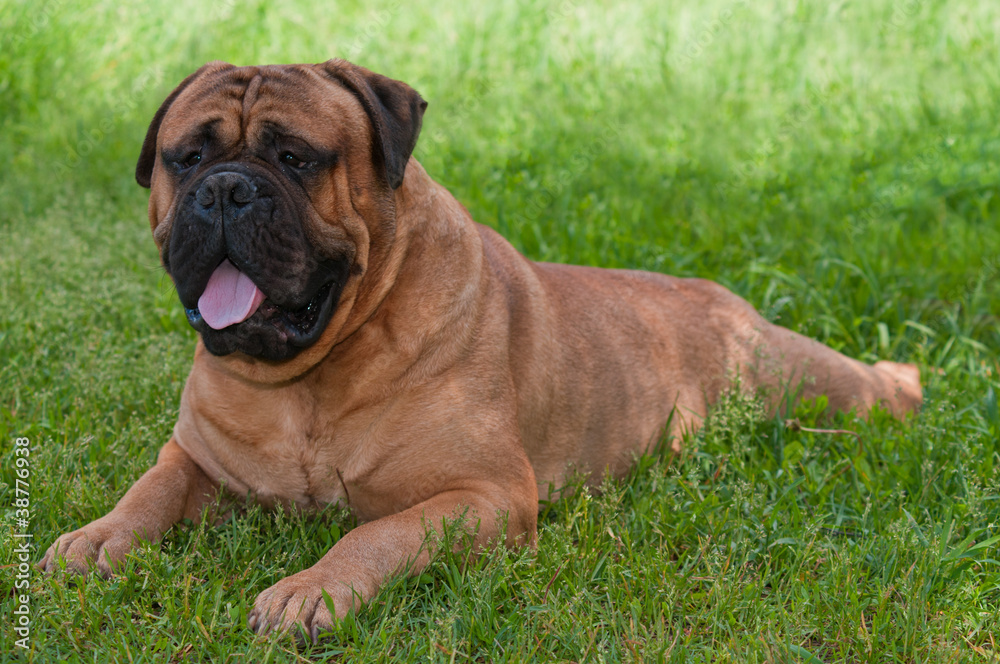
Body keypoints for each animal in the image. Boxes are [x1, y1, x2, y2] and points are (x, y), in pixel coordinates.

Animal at [39, 59, 920, 640]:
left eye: (296, 157)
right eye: (187, 156)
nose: (225, 189)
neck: (311, 378)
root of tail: (717, 296)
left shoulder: (484, 496)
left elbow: (377, 533)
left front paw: (310, 591)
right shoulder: (199, 458)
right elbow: (149, 489)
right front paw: (93, 541)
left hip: (796, 376)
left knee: (863, 385)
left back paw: (910, 381)